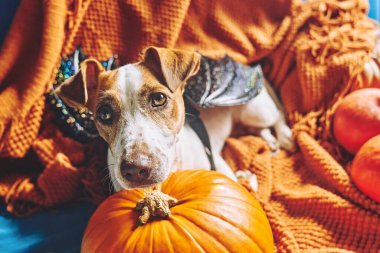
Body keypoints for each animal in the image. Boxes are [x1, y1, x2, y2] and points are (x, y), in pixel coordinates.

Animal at [56, 46, 294, 191]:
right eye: (104, 113)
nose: (136, 169)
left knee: (279, 114)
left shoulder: (218, 163)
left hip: (255, 111)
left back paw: (285, 136)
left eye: (159, 98)